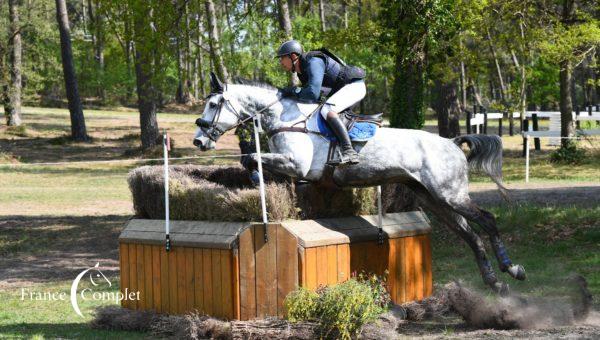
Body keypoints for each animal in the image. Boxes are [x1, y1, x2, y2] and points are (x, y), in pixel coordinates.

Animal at [193, 72, 524, 292]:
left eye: (214, 104)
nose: (198, 140)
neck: (286, 117)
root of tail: (451, 142)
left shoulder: (296, 165)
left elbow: (252, 158)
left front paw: (255, 181)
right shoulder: (293, 169)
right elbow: (255, 162)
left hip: (449, 194)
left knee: (488, 220)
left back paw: (512, 268)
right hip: (434, 199)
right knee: (470, 235)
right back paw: (494, 281)